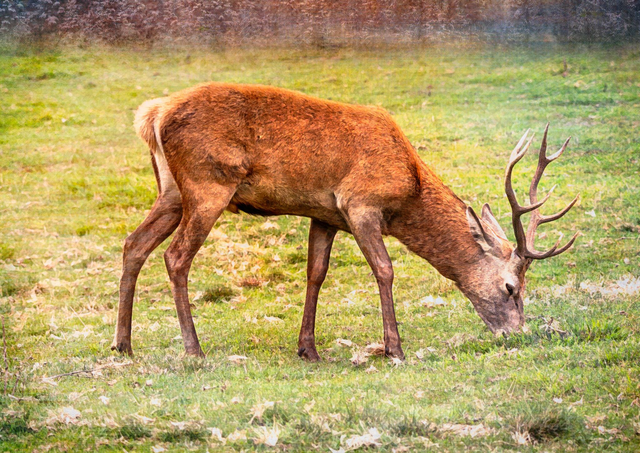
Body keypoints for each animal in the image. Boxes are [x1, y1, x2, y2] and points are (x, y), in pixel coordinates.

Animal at [111, 83, 579, 361]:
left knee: (134, 243)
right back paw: (193, 350)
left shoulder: (325, 214)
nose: (517, 334)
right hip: (209, 184)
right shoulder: (360, 204)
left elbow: (316, 273)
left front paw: (308, 349)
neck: (407, 186)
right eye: (511, 287)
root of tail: (152, 114)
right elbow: (384, 270)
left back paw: (123, 344)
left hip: (171, 191)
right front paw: (394, 348)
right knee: (175, 257)